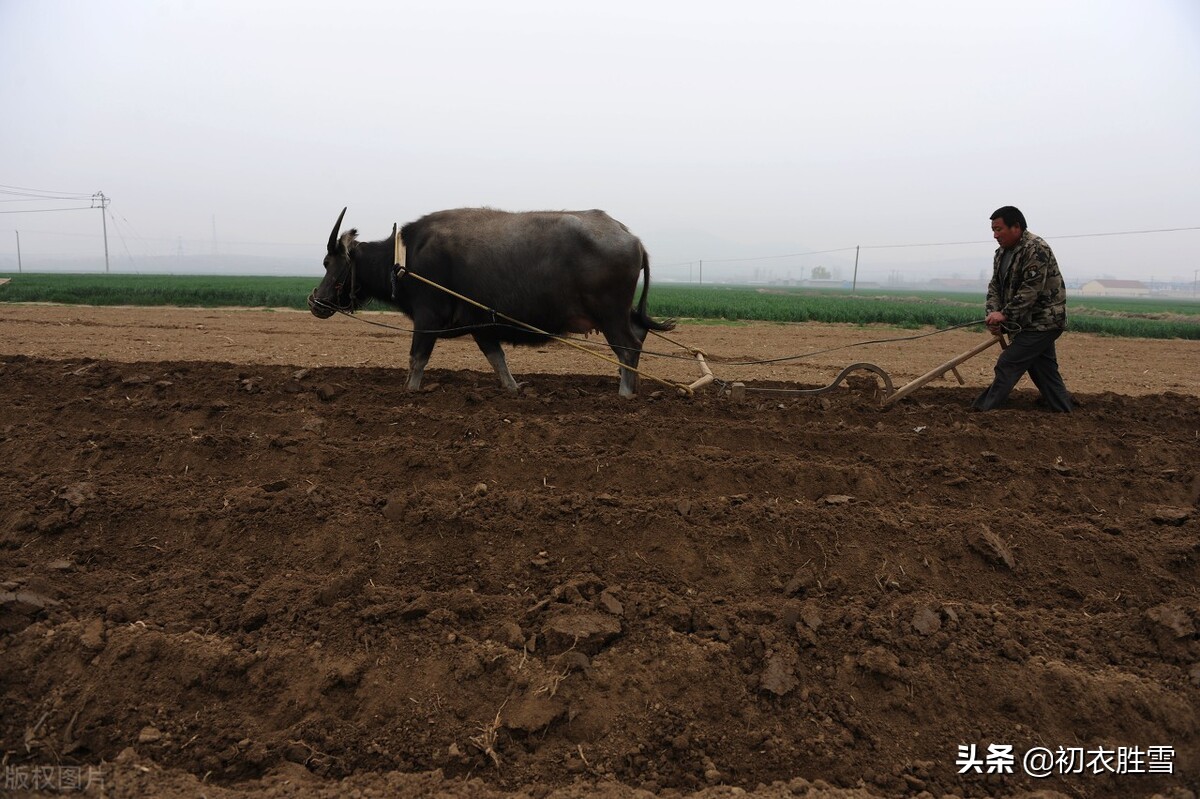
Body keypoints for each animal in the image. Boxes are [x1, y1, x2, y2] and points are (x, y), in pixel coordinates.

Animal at [309, 205, 676, 391]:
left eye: (329, 263)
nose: (316, 301)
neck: (405, 259)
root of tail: (631, 237)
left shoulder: (427, 318)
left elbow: (417, 359)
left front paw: (410, 391)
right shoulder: (481, 323)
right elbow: (497, 359)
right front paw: (514, 388)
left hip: (610, 314)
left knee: (629, 347)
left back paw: (625, 392)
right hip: (621, 313)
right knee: (638, 336)